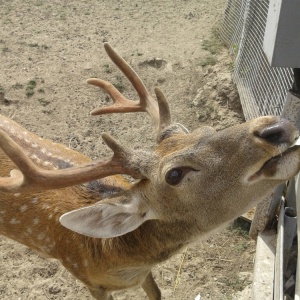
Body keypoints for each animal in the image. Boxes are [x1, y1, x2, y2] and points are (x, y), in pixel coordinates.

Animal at [0, 42, 300, 300]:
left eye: (205, 130)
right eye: (174, 174)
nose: (275, 127)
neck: (111, 255)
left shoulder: (145, 274)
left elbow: (156, 293)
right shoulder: (88, 280)